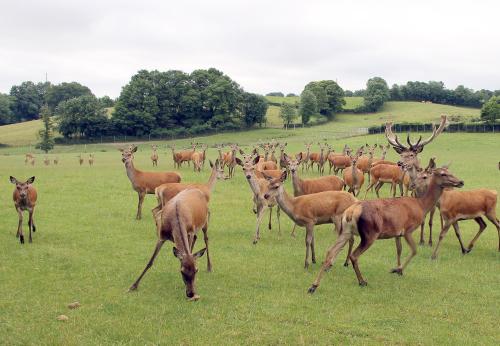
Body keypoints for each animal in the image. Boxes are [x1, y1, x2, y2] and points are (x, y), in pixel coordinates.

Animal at [308, 166, 464, 294]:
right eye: (443, 174)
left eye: (450, 171)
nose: (461, 181)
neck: (422, 206)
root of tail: (351, 212)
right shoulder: (408, 229)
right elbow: (414, 250)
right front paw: (397, 269)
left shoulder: (397, 233)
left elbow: (399, 250)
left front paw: (398, 269)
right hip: (369, 234)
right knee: (354, 255)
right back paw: (362, 281)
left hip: (345, 231)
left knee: (330, 251)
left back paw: (313, 286)